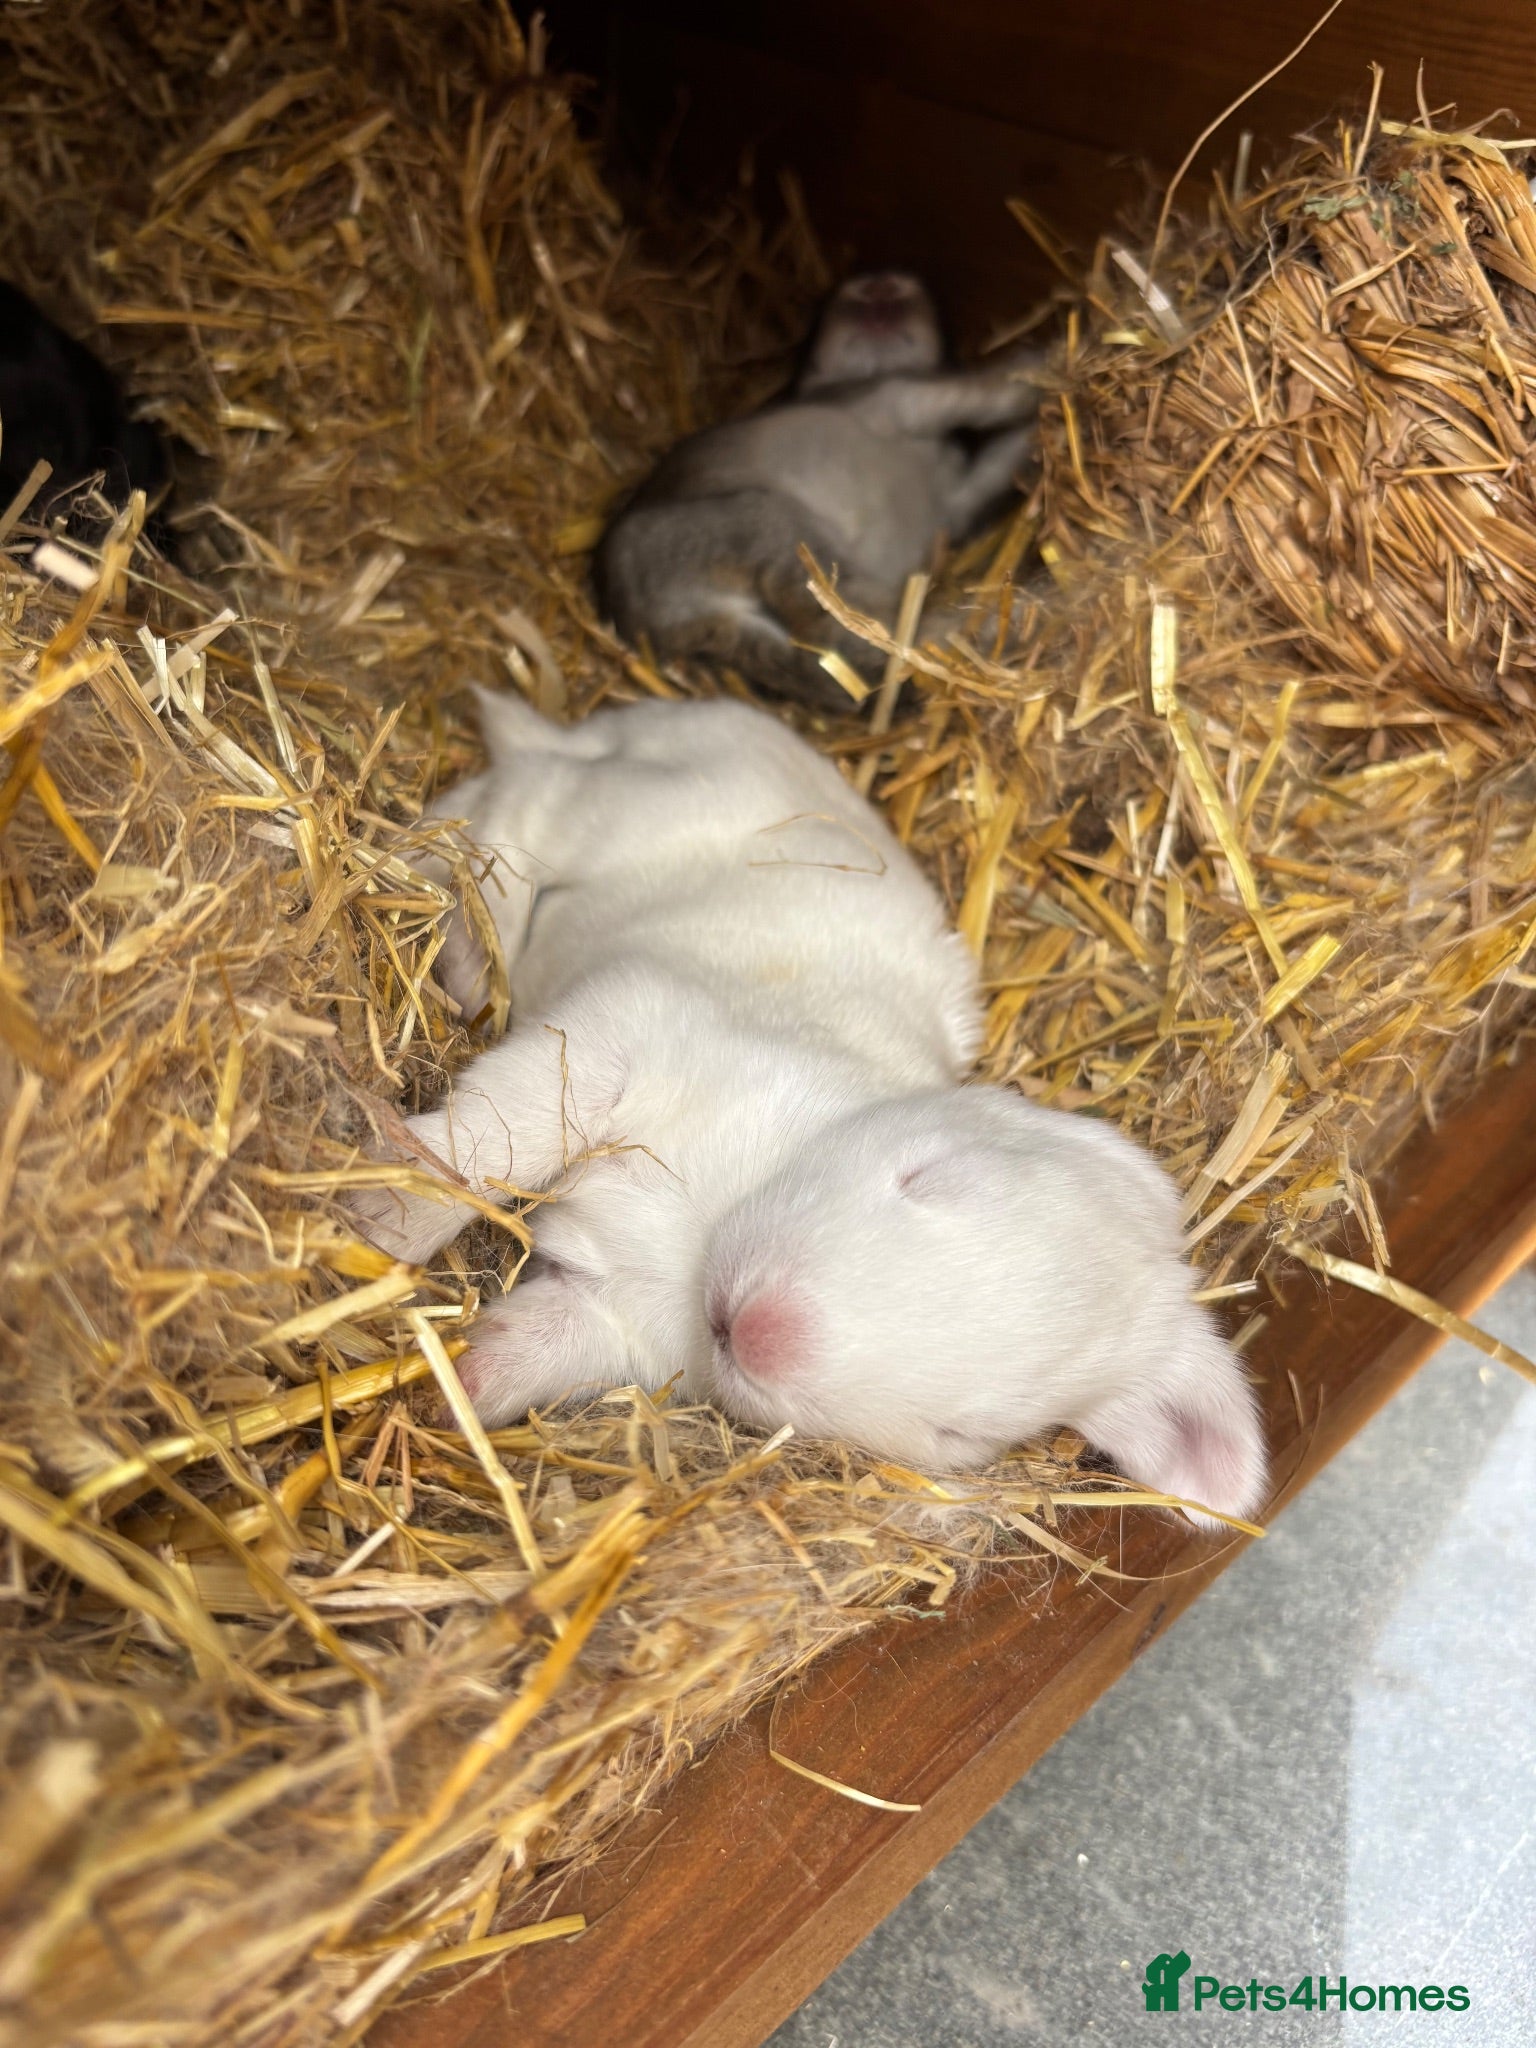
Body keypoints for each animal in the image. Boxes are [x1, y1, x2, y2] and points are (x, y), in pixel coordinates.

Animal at [352, 690, 1266, 1525]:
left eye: (962, 1433)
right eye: (931, 1178)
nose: (758, 1331)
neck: (712, 1230)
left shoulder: (612, 1323)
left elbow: (530, 1348)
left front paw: (451, 1387)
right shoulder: (624, 1031)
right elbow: (490, 1143)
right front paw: (382, 1219)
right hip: (626, 808)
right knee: (512, 809)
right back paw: (468, 949)